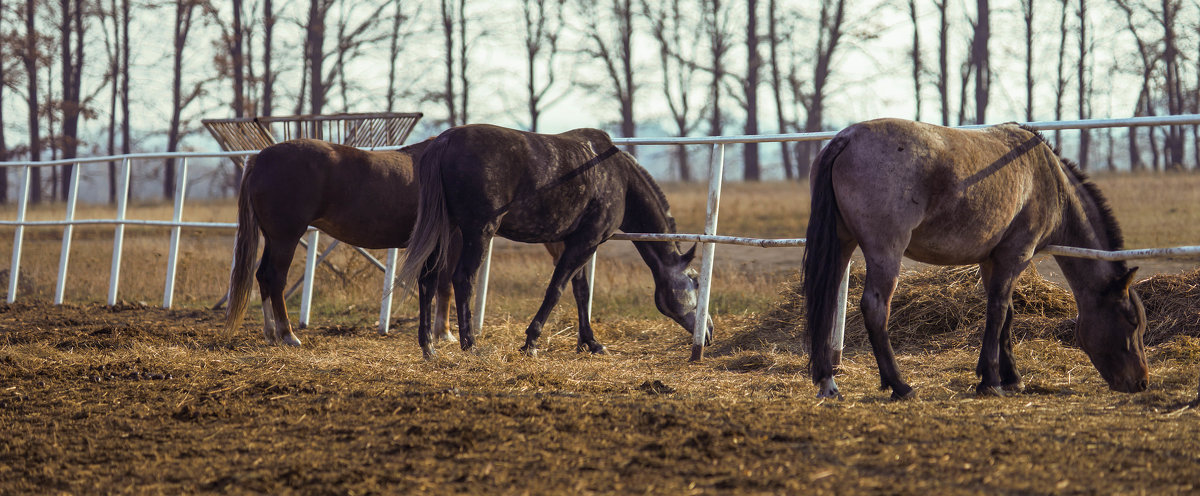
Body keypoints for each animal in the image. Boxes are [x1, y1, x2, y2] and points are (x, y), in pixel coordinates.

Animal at [225, 137, 458, 345]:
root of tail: (259, 159)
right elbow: (446, 285)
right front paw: (445, 334)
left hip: (272, 239)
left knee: (263, 275)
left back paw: (271, 333)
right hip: (285, 239)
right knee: (275, 279)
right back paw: (287, 334)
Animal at [393, 123, 710, 355]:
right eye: (695, 281)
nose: (708, 332)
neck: (619, 178)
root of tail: (444, 141)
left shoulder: (576, 243)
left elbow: (581, 291)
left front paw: (591, 342)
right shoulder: (586, 242)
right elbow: (556, 289)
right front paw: (531, 342)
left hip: (445, 230)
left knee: (428, 279)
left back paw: (428, 347)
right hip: (478, 232)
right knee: (463, 279)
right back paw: (470, 344)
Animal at [801, 118, 1147, 398]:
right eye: (1131, 321)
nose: (1141, 382)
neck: (1049, 181)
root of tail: (846, 138)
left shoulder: (991, 260)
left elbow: (1006, 314)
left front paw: (1011, 377)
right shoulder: (1014, 257)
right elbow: (997, 312)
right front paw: (991, 380)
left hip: (842, 244)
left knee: (826, 303)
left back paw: (827, 381)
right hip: (886, 252)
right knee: (875, 309)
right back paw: (900, 386)